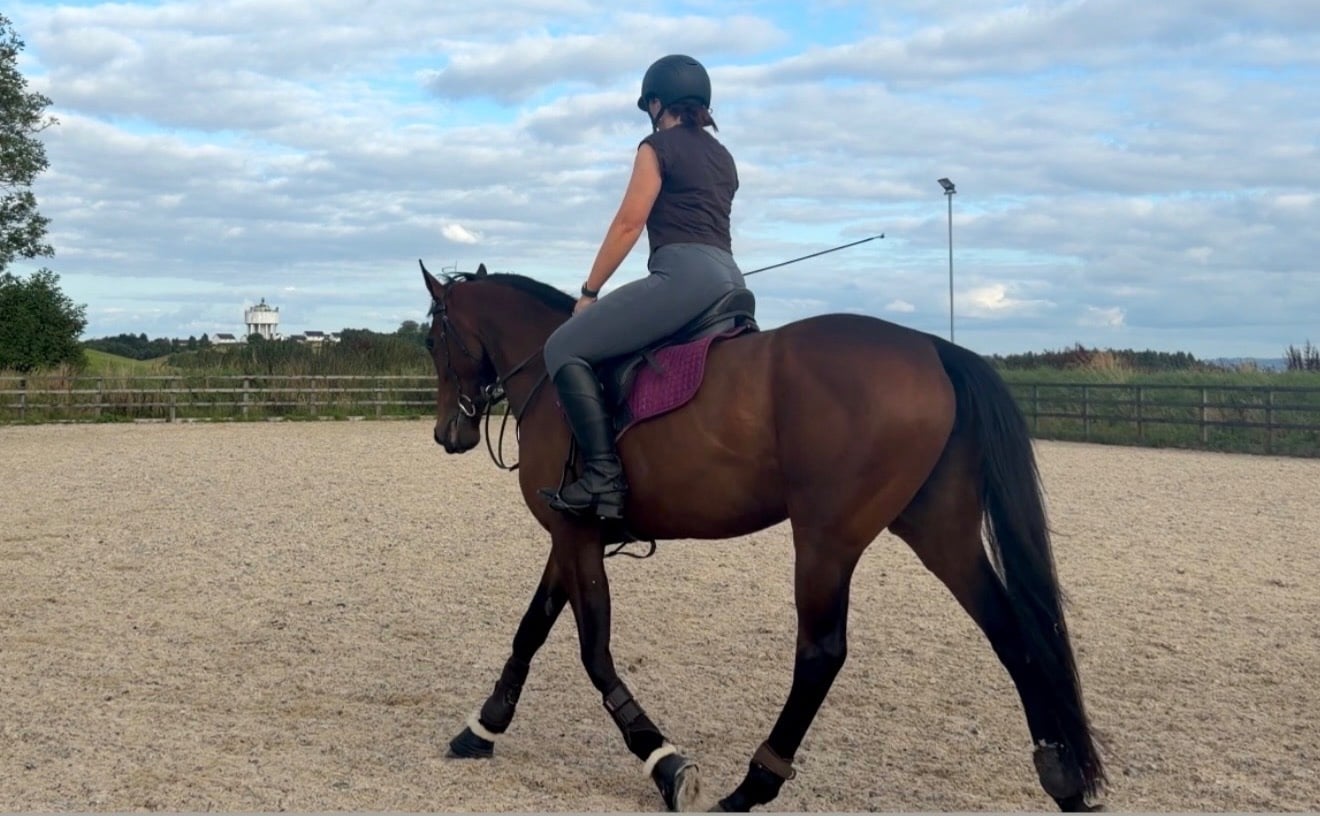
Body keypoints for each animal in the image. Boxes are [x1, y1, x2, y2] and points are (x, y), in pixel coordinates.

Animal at [419, 260, 1107, 813]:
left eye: (433, 339)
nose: (447, 434)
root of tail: (933, 348)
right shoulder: (573, 534)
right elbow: (533, 626)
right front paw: (483, 727)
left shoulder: (573, 532)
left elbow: (592, 652)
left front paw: (664, 761)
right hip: (938, 530)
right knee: (1009, 631)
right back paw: (1063, 778)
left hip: (828, 539)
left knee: (821, 653)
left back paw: (754, 784)